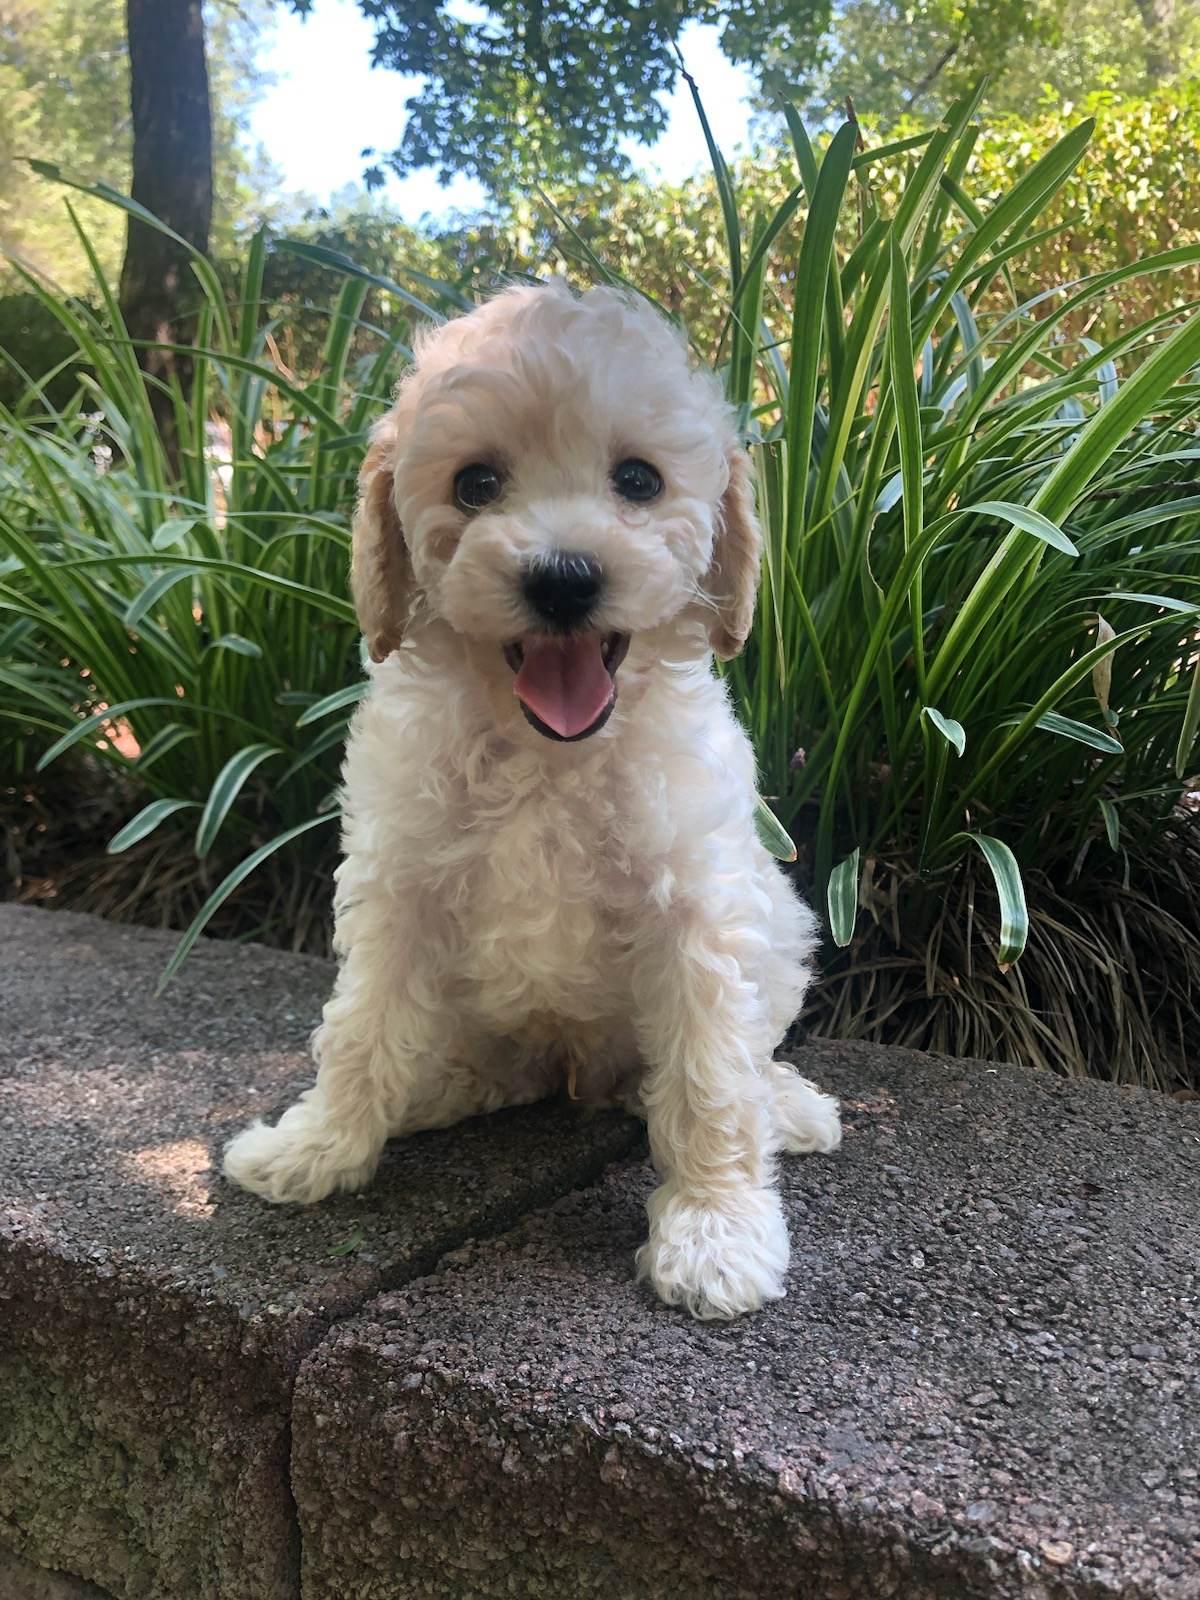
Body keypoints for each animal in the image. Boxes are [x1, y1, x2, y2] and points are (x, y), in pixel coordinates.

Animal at [223, 281, 841, 1319]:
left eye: (638, 480)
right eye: (475, 484)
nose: (562, 578)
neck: (549, 755)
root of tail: (577, 1069)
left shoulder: (699, 905)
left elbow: (713, 1074)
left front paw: (715, 1231)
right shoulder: (399, 885)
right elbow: (360, 1029)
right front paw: (317, 1148)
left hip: (783, 925)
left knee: (732, 1060)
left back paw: (786, 1104)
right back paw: (432, 1088)